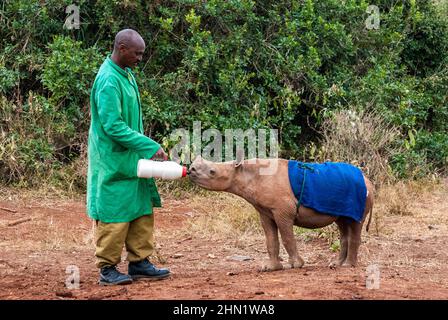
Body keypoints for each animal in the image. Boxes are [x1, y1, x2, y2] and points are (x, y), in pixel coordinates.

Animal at [188, 156, 374, 272]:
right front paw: (270, 268)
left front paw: (296, 265)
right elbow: (271, 239)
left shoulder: (282, 211)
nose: (190, 169)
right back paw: (335, 264)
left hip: (360, 194)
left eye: (212, 172)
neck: (244, 173)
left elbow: (286, 237)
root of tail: (369, 180)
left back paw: (347, 266)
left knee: (355, 224)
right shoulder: (265, 211)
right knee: (343, 223)